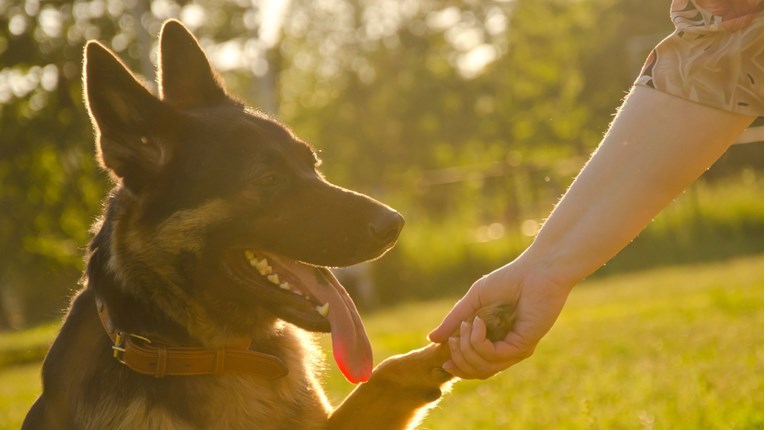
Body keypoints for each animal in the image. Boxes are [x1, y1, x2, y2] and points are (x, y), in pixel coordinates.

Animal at [22, 21, 512, 430]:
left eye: (312, 165)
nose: (395, 225)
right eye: (269, 180)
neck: (216, 355)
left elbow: (383, 374)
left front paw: (467, 332)